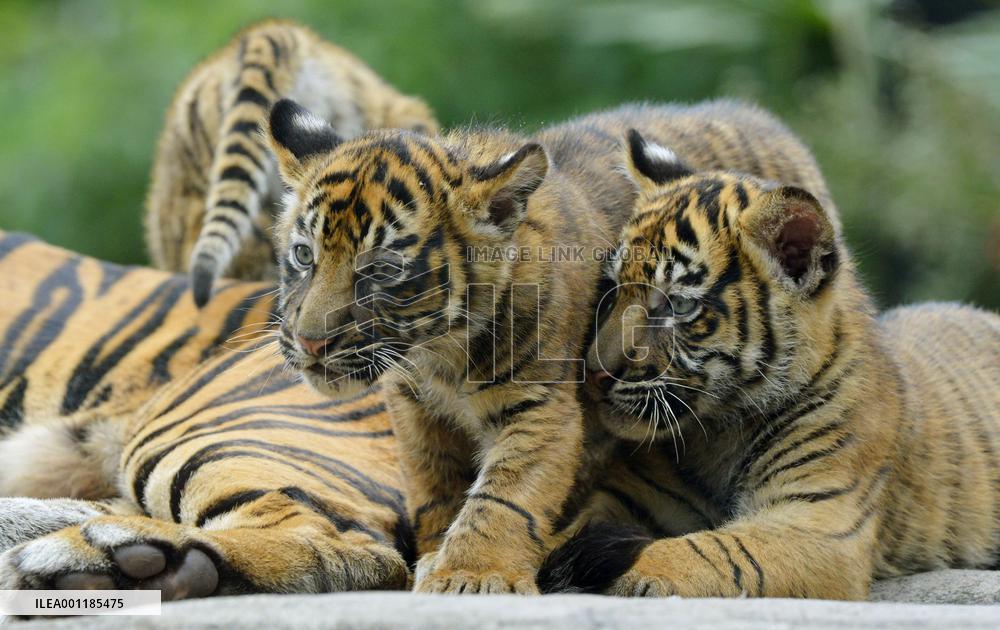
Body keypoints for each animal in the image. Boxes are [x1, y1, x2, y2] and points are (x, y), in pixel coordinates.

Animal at [258, 97, 838, 594]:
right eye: (305, 256)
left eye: (379, 271)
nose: (310, 341)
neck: (436, 353)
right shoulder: (415, 408)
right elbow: (434, 487)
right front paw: (436, 554)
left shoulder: (541, 409)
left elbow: (504, 497)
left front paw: (472, 574)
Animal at [535, 127, 1000, 599]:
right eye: (612, 288)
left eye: (679, 305)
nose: (594, 373)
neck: (719, 431)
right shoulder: (634, 495)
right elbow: (565, 527)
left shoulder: (819, 521)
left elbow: (717, 549)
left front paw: (626, 567)